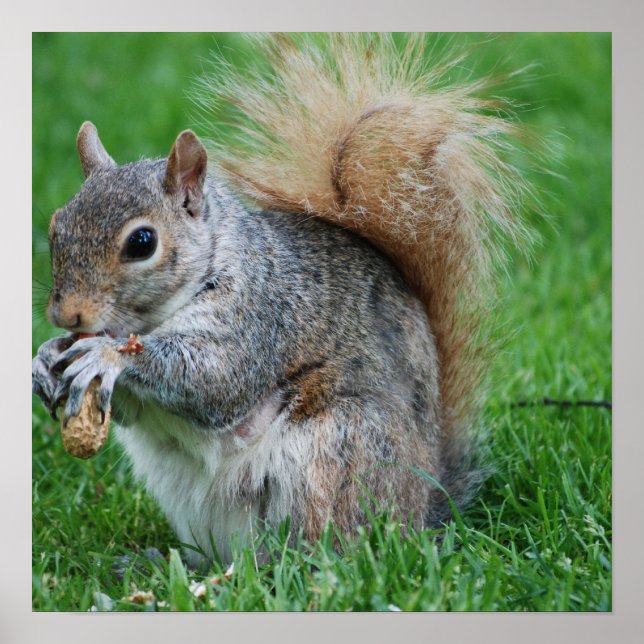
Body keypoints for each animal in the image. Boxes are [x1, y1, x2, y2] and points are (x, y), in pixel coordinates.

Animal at [32, 34, 528, 566]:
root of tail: (423, 511)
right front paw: (45, 358)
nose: (66, 313)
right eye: (56, 225)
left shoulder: (261, 313)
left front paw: (106, 354)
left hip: (332, 456)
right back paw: (169, 562)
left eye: (142, 242)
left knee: (318, 553)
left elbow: (215, 379)